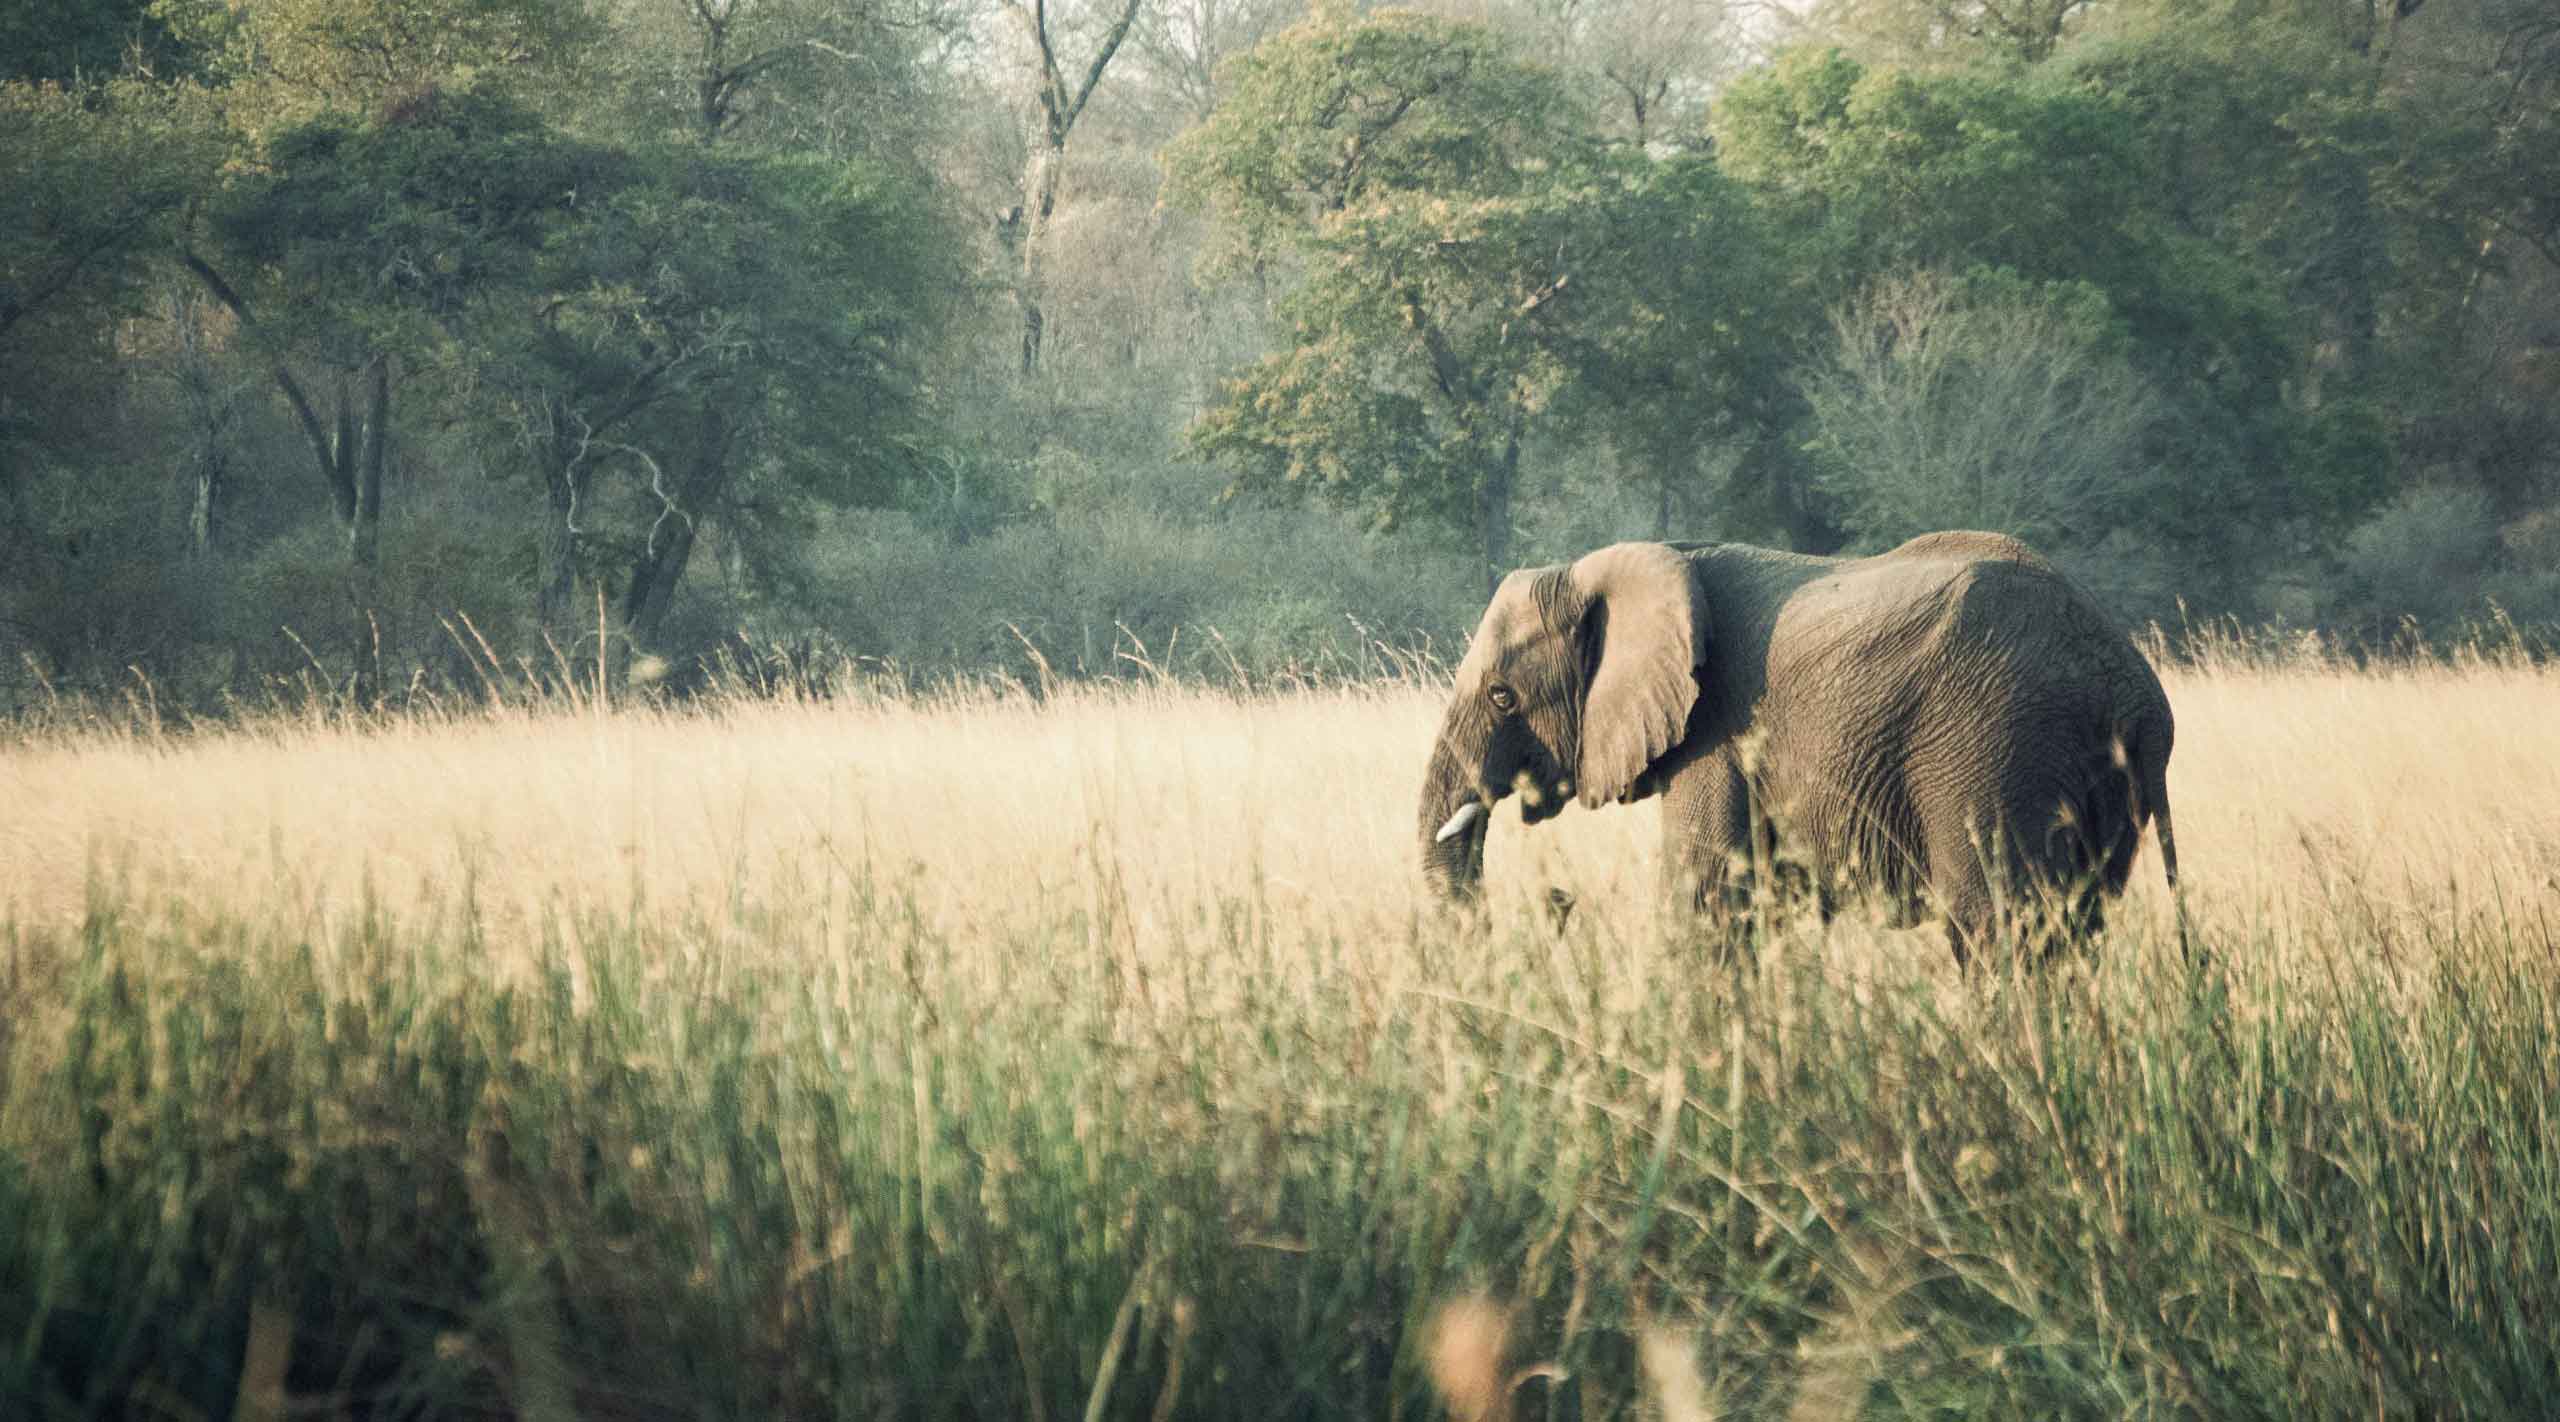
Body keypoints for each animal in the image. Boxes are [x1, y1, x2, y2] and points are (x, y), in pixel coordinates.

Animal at [1423, 532, 2181, 968]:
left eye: (1501, 696)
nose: (1553, 903)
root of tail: (2136, 692)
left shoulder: (1720, 735)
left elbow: (1707, 904)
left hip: (1997, 751)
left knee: (1997, 930)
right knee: (2075, 929)